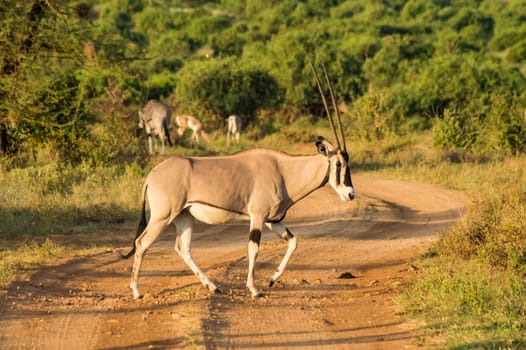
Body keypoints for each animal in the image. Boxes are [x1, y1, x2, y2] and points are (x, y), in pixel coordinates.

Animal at [122, 61, 354, 300]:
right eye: (338, 164)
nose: (350, 193)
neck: (284, 170)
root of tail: (152, 175)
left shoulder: (274, 220)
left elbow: (293, 241)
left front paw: (272, 279)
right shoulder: (258, 216)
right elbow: (253, 248)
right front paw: (254, 289)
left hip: (184, 216)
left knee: (182, 248)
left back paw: (212, 286)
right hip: (162, 216)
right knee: (141, 243)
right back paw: (136, 291)